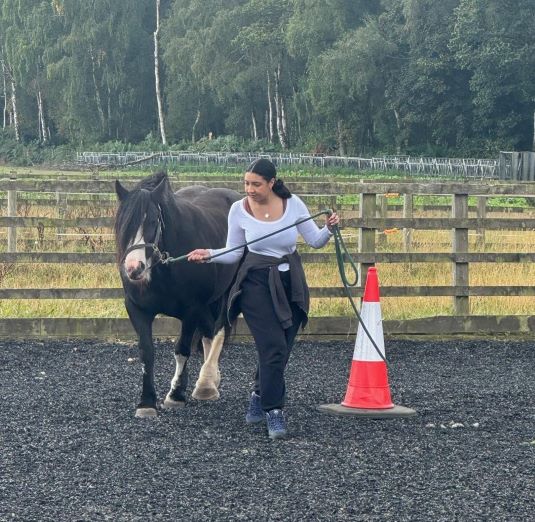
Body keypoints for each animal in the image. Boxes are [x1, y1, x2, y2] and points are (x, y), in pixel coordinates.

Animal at [114, 171, 241, 414]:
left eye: (153, 221)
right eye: (122, 224)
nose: (134, 268)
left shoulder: (191, 309)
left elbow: (182, 349)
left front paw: (176, 395)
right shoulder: (137, 309)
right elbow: (146, 352)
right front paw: (146, 402)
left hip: (228, 293)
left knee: (219, 330)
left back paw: (207, 383)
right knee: (208, 331)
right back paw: (208, 381)